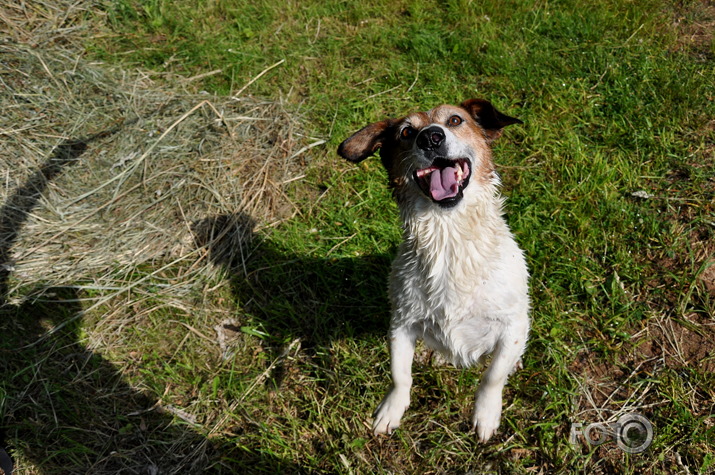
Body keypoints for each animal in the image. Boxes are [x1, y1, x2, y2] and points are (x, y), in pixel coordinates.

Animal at [338, 97, 532, 442]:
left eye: (455, 119)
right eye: (406, 132)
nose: (430, 137)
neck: (449, 234)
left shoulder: (512, 324)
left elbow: (493, 376)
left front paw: (486, 415)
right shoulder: (401, 323)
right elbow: (400, 375)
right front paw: (391, 410)